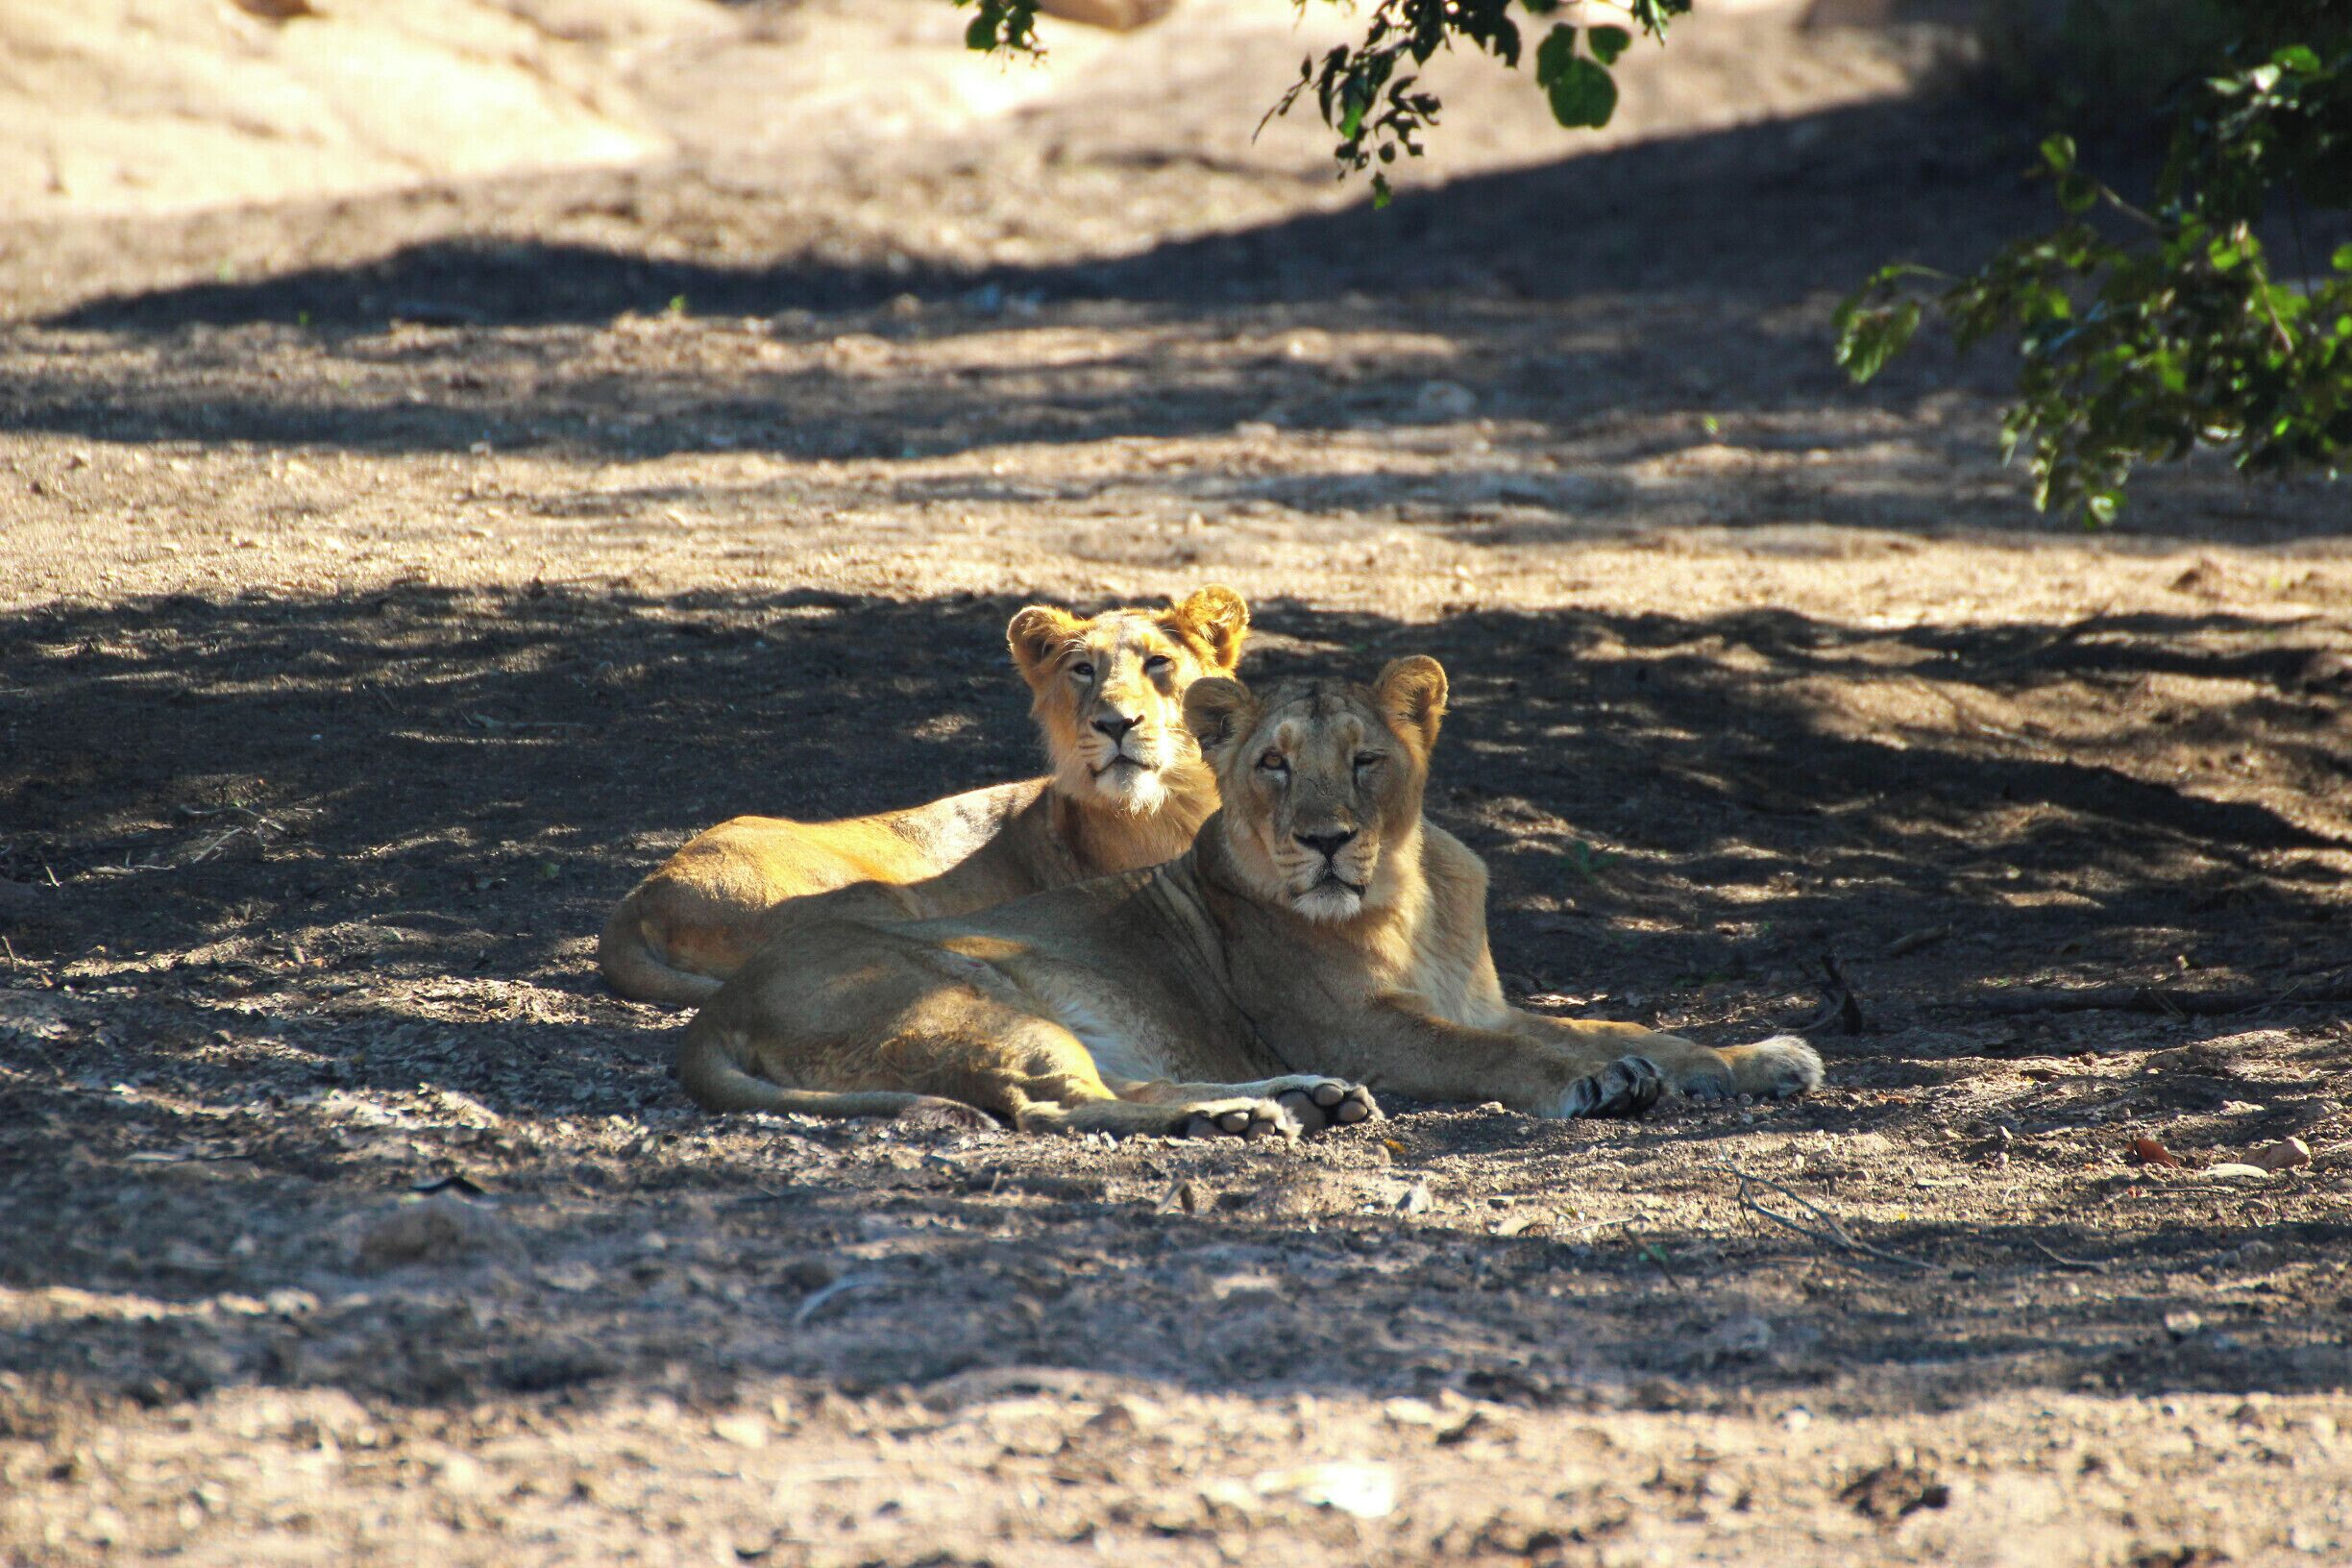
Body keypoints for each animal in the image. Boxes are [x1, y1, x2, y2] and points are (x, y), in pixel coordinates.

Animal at [598, 587, 1250, 1006]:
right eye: (1083, 670)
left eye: (1159, 662)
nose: (1116, 723)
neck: (1171, 805)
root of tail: (637, 897)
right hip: (868, 901)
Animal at [675, 654, 1824, 1136]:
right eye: (1272, 765)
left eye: (1364, 761)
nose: (1326, 841)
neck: (1408, 898)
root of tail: (713, 1013)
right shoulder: (1369, 1028)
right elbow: (1507, 1057)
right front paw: (1593, 1083)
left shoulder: (1478, 1000)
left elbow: (1632, 1026)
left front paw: (1762, 1058)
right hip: (971, 995)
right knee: (1050, 1106)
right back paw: (1236, 1120)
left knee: (1118, 1085)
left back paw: (1299, 1103)